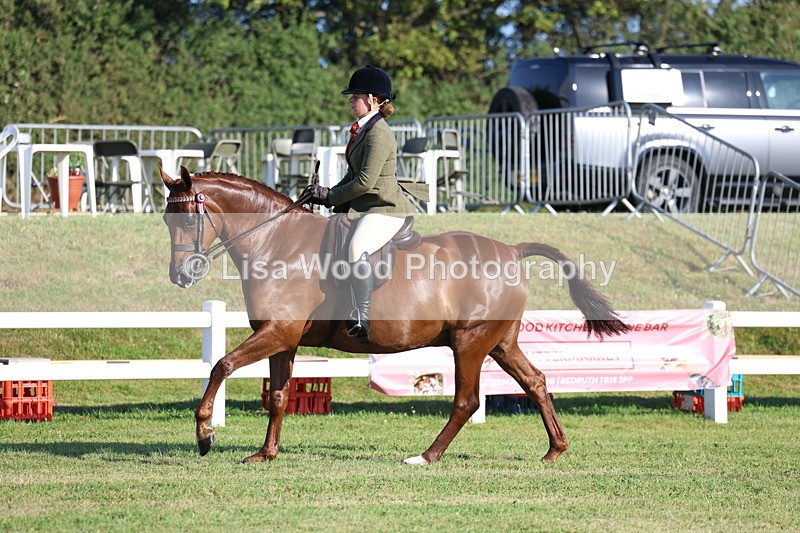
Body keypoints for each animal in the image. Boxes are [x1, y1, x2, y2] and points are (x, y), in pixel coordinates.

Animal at [160, 166, 630, 464]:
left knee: (466, 400)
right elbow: (277, 396)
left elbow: (221, 366)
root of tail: (512, 250)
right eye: (167, 219)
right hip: (500, 342)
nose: (182, 275)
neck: (276, 241)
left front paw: (204, 434)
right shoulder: (283, 340)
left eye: (187, 219)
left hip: (470, 342)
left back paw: (427, 456)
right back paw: (554, 449)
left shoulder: (277, 333)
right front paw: (265, 453)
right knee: (535, 382)